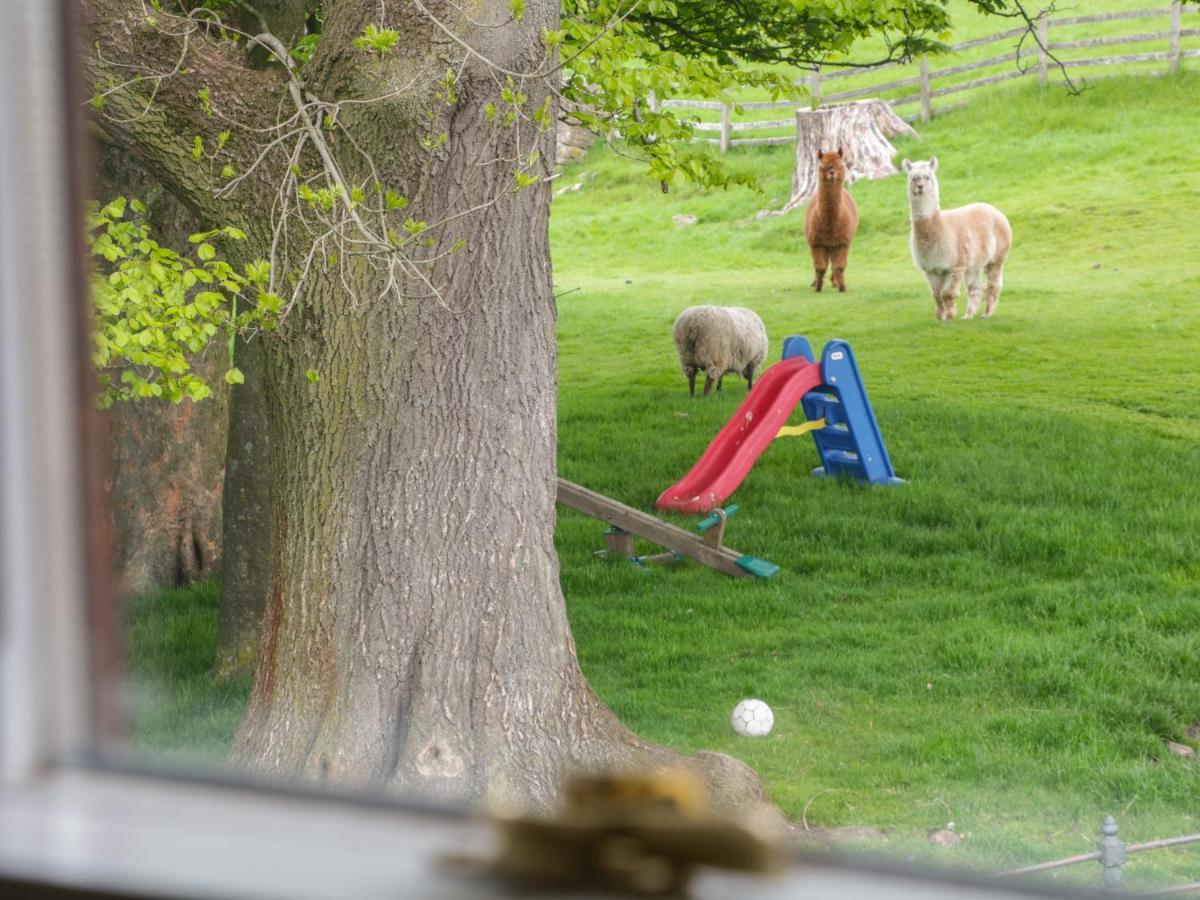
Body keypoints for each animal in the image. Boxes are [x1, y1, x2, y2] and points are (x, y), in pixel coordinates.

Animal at [902, 157, 1008, 321]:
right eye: (913, 177)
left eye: (927, 176)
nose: (920, 187)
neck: (939, 227)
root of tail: (993, 208)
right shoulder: (930, 268)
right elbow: (937, 295)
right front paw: (940, 317)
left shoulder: (955, 265)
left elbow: (948, 294)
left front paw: (950, 317)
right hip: (973, 262)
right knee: (975, 287)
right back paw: (969, 315)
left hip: (997, 257)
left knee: (993, 284)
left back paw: (987, 313)